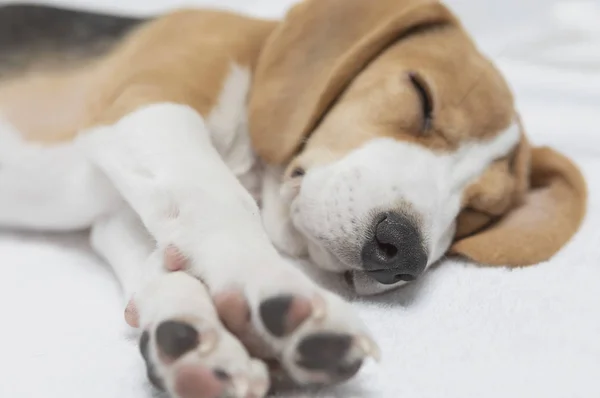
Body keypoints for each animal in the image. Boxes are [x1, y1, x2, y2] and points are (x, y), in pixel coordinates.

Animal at [0, 0, 584, 398]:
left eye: (480, 211)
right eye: (422, 98)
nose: (403, 251)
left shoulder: (119, 214)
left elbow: (167, 265)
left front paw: (192, 337)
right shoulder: (146, 107)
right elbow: (223, 203)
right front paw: (281, 298)